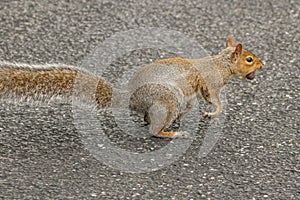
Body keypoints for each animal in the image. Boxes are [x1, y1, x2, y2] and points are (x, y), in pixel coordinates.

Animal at [0, 36, 262, 138]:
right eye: (249, 59)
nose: (263, 64)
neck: (221, 63)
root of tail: (129, 98)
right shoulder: (210, 85)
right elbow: (214, 101)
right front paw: (213, 113)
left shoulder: (192, 94)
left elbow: (191, 105)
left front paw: (190, 115)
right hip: (167, 100)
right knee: (154, 130)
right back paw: (171, 132)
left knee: (149, 119)